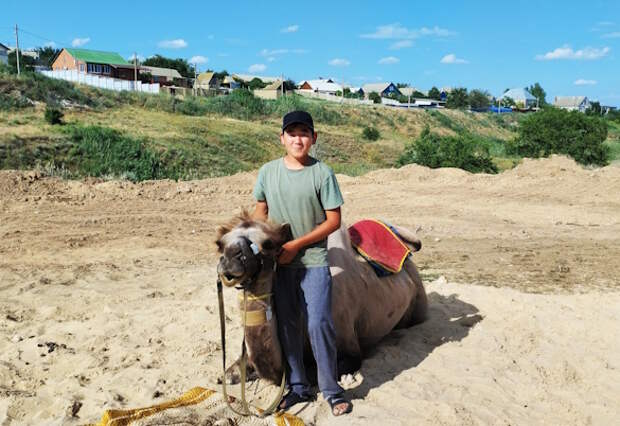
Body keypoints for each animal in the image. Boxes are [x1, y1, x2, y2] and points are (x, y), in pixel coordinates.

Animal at [217, 213, 426, 382]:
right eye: (220, 244)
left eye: (268, 244)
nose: (230, 259)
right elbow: (230, 372)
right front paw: (230, 373)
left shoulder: (349, 346)